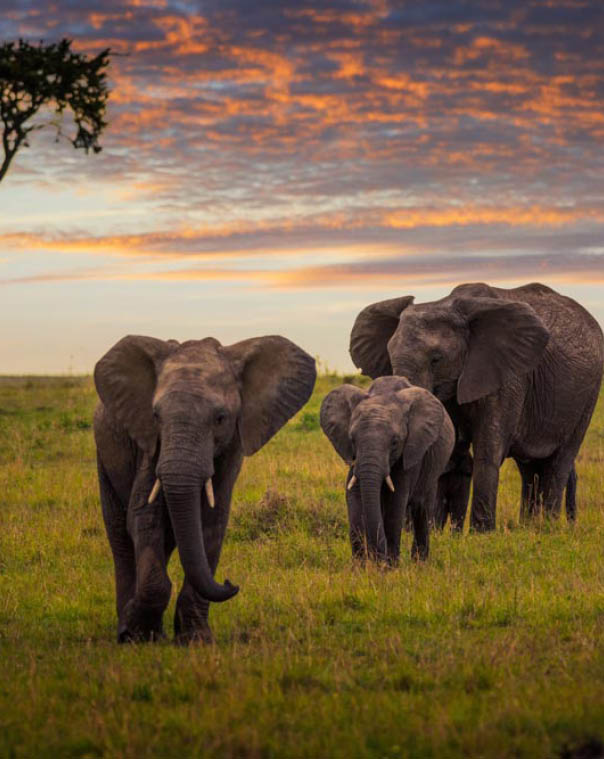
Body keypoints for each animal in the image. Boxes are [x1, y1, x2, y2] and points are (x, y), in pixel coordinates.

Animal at [93, 333, 316, 643]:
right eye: (155, 416)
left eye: (220, 418)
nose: (231, 583)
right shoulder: (148, 443)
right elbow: (144, 518)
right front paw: (138, 635)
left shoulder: (233, 443)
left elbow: (212, 522)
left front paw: (196, 640)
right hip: (105, 455)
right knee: (120, 536)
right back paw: (128, 629)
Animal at [320, 376, 454, 562]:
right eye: (352, 439)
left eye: (395, 442)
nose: (377, 557)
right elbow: (355, 497)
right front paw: (360, 566)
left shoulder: (410, 453)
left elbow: (395, 501)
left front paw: (388, 566)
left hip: (433, 470)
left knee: (422, 510)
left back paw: (419, 563)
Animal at [350, 282, 604, 532]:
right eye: (390, 357)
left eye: (436, 359)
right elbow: (450, 452)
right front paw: (435, 530)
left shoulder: (507, 375)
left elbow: (487, 450)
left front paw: (481, 534)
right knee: (528, 467)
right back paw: (528, 527)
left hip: (588, 395)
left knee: (560, 461)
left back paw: (548, 527)